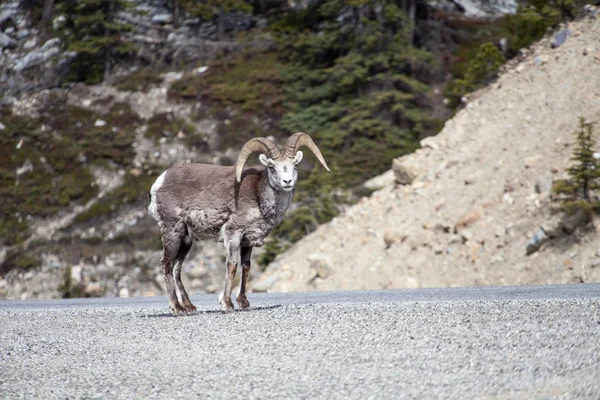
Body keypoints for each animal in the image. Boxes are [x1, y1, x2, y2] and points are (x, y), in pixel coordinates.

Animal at [148, 133, 330, 314]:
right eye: (272, 167)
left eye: (295, 165)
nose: (287, 181)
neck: (259, 197)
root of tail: (159, 183)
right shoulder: (233, 234)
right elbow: (232, 266)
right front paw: (227, 304)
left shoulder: (247, 241)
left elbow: (246, 267)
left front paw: (243, 302)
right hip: (173, 232)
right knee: (166, 264)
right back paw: (177, 308)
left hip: (186, 239)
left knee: (176, 268)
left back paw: (189, 307)